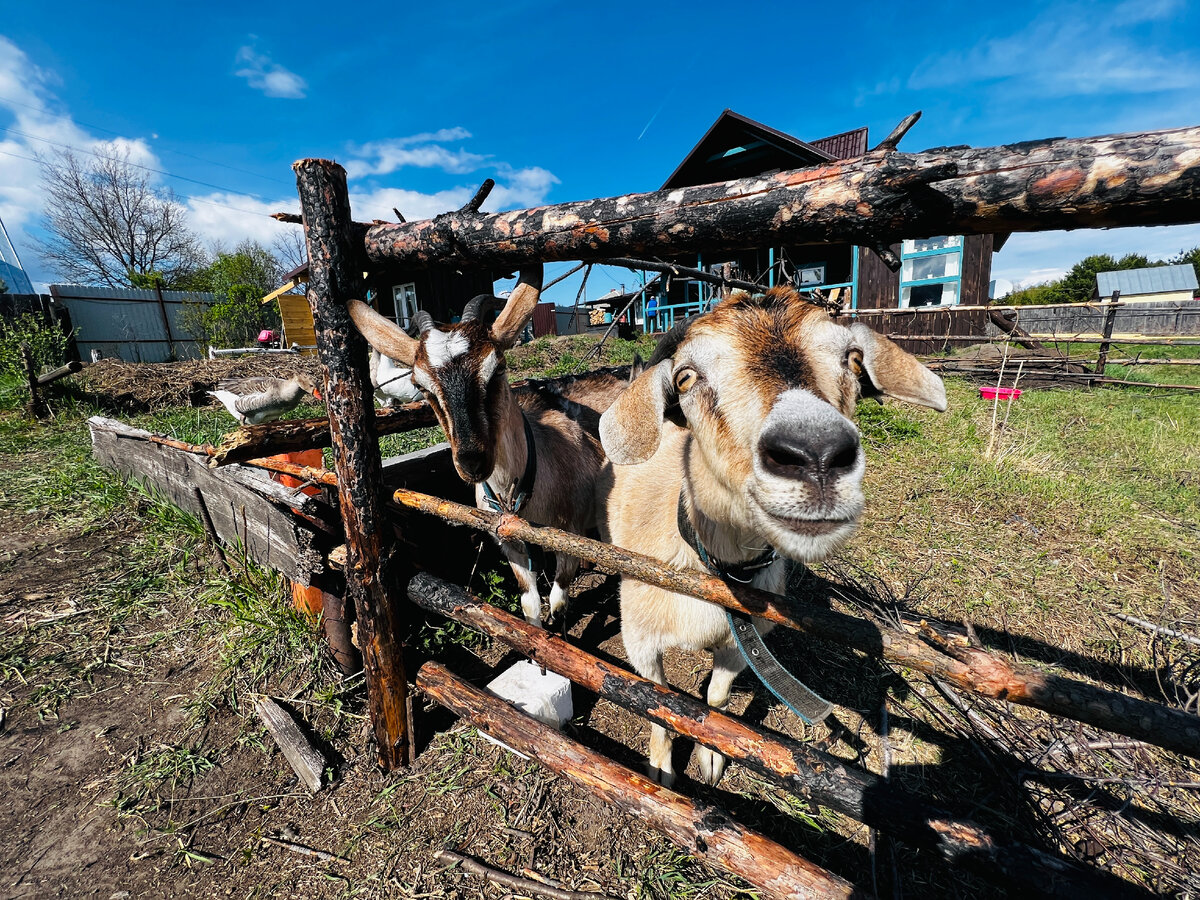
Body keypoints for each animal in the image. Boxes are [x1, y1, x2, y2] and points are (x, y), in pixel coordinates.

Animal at [600, 290, 945, 787]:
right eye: (685, 377)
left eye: (852, 358)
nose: (816, 454)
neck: (711, 568)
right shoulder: (640, 640)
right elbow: (657, 702)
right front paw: (660, 769)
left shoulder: (743, 646)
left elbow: (717, 697)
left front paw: (712, 756)